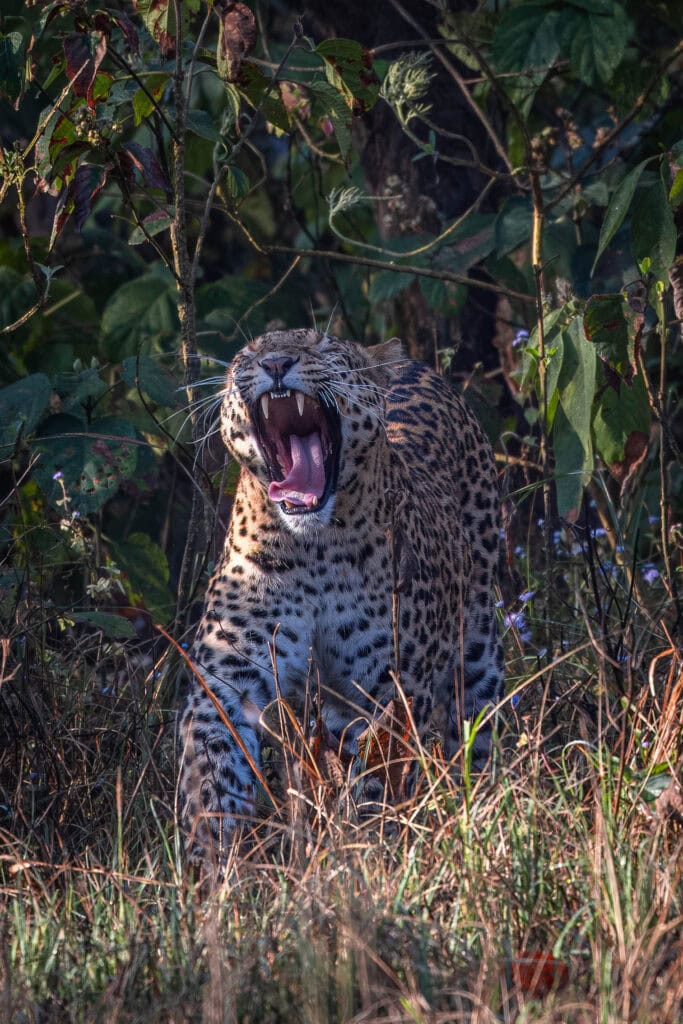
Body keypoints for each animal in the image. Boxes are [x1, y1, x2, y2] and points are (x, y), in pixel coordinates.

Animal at [179, 327, 503, 862]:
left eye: (320, 347)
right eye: (247, 355)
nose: (275, 362)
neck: (314, 548)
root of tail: (410, 362)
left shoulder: (389, 693)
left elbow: (375, 783)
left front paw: (366, 853)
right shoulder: (226, 680)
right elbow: (213, 768)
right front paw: (214, 861)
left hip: (476, 649)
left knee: (474, 732)